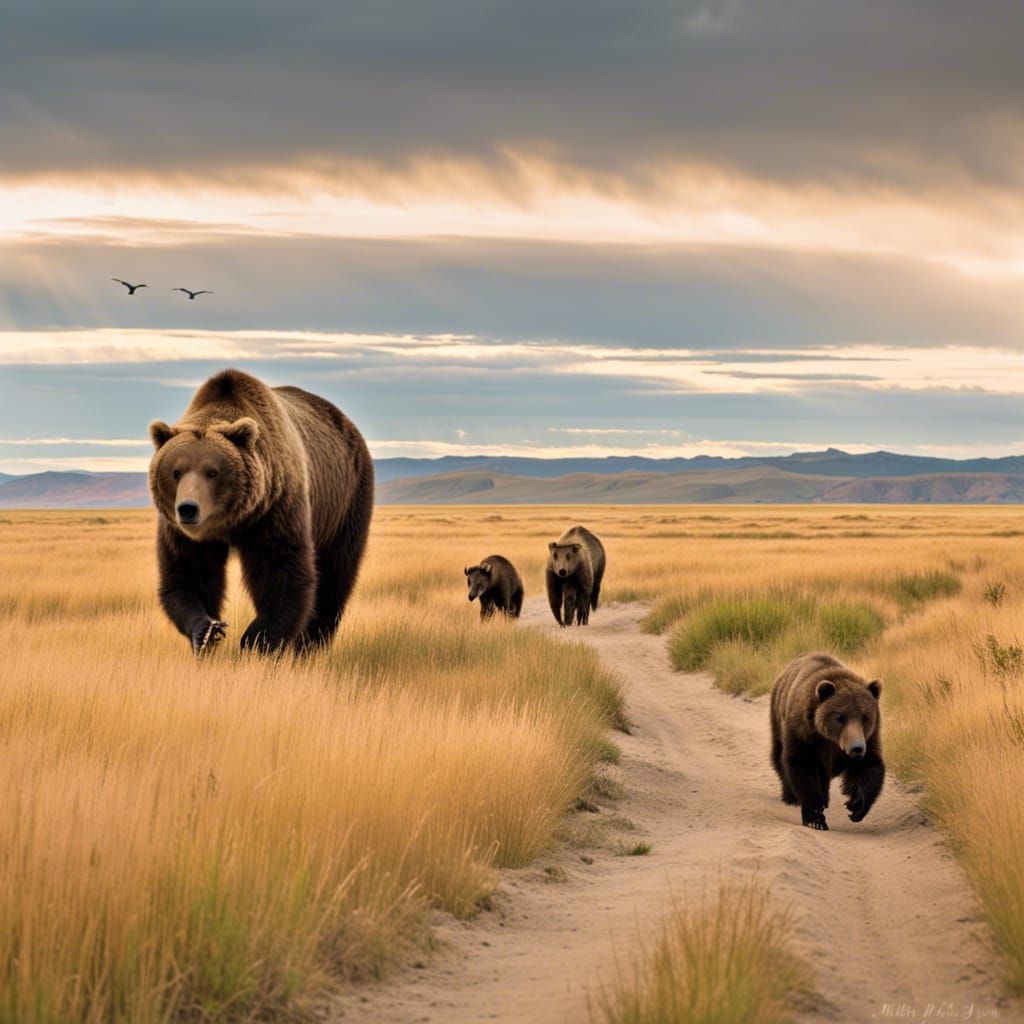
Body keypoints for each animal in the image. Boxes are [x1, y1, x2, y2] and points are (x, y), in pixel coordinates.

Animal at [148, 368, 374, 656]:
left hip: (346, 500)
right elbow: (187, 573)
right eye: (176, 471)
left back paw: (311, 644)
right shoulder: (182, 533)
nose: (188, 508)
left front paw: (256, 641)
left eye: (212, 472)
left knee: (334, 575)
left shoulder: (275, 508)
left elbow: (282, 572)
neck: (233, 522)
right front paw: (207, 631)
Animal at [769, 652, 884, 830]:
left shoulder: (869, 737)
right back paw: (791, 797)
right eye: (840, 716)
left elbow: (869, 766)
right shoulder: (804, 733)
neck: (831, 740)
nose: (856, 748)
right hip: (778, 716)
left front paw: (857, 805)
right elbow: (803, 766)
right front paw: (815, 818)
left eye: (865, 717)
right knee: (779, 756)